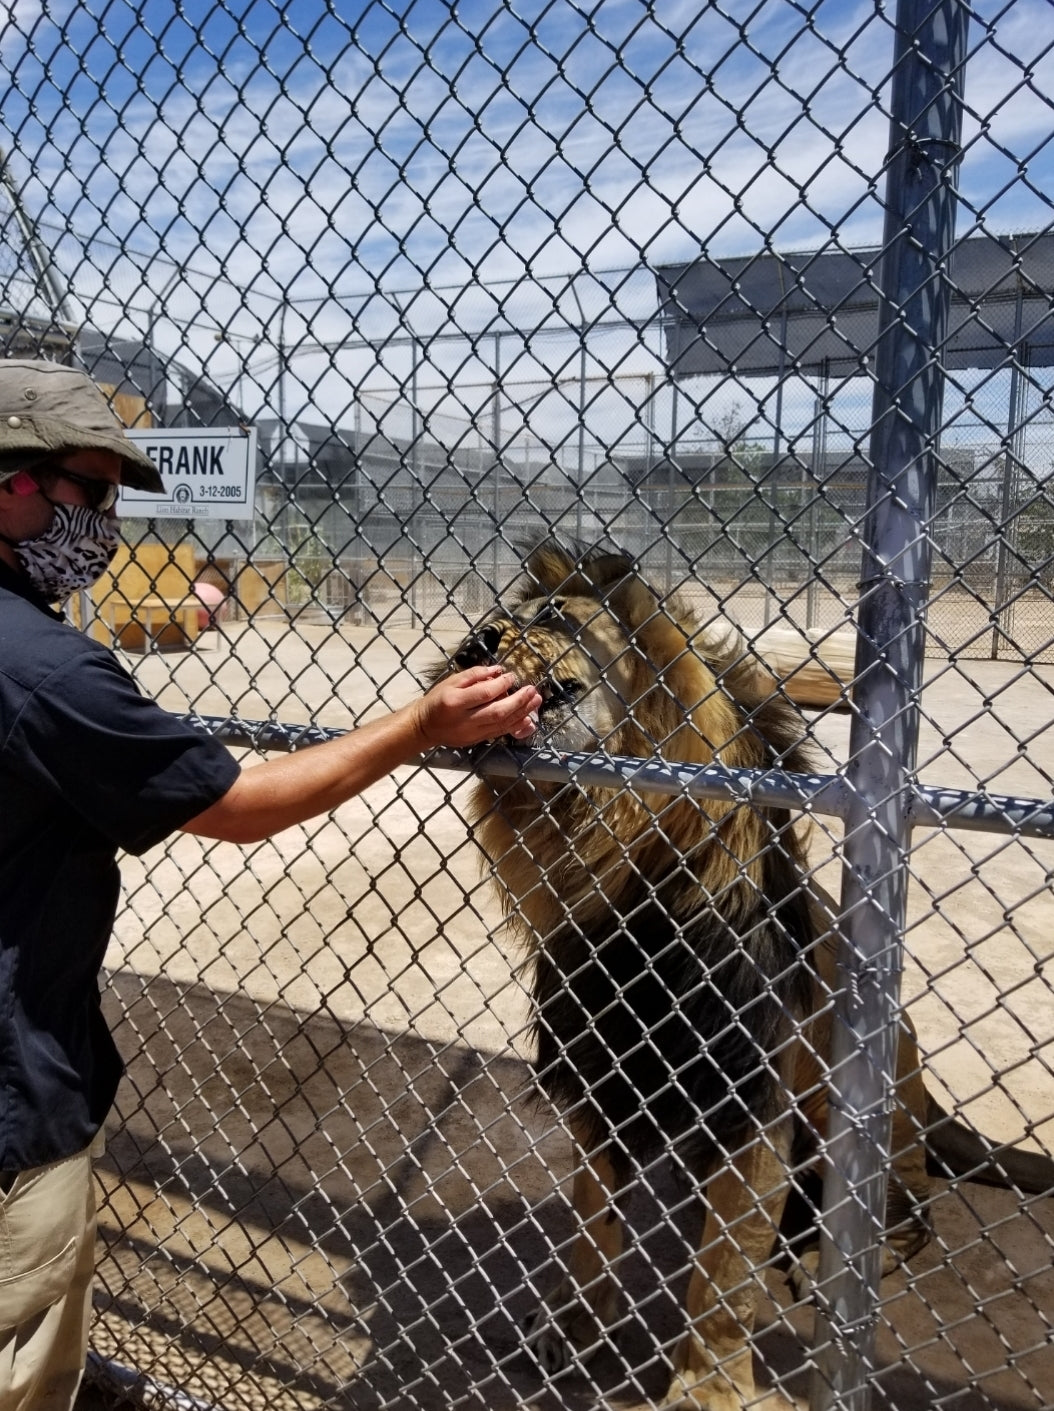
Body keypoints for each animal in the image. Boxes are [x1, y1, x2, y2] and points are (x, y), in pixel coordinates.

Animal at [437, 541, 1054, 1411]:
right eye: (492, 620)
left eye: (553, 616)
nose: (476, 643)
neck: (606, 852)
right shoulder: (602, 1078)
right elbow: (593, 1224)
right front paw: (571, 1325)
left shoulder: (753, 1102)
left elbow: (724, 1275)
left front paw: (708, 1387)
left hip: (858, 1110)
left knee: (905, 1211)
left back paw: (836, 1260)